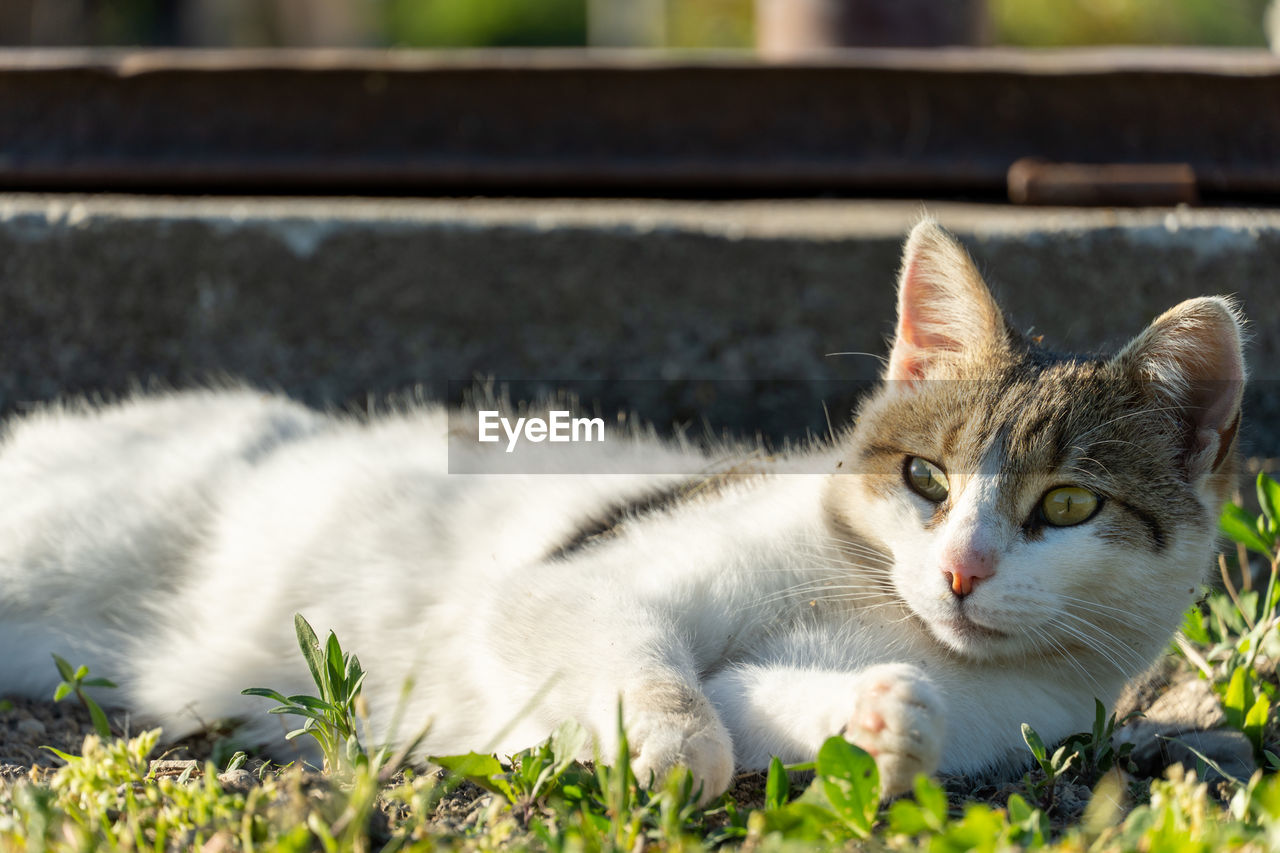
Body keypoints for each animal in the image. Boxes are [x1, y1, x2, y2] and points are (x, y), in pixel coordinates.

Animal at [0, 217, 1239, 799]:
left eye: (1066, 504)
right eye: (925, 480)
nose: (959, 572)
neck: (874, 605)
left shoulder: (1015, 707)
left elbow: (750, 703)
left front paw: (881, 720)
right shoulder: (578, 582)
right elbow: (666, 687)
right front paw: (662, 753)